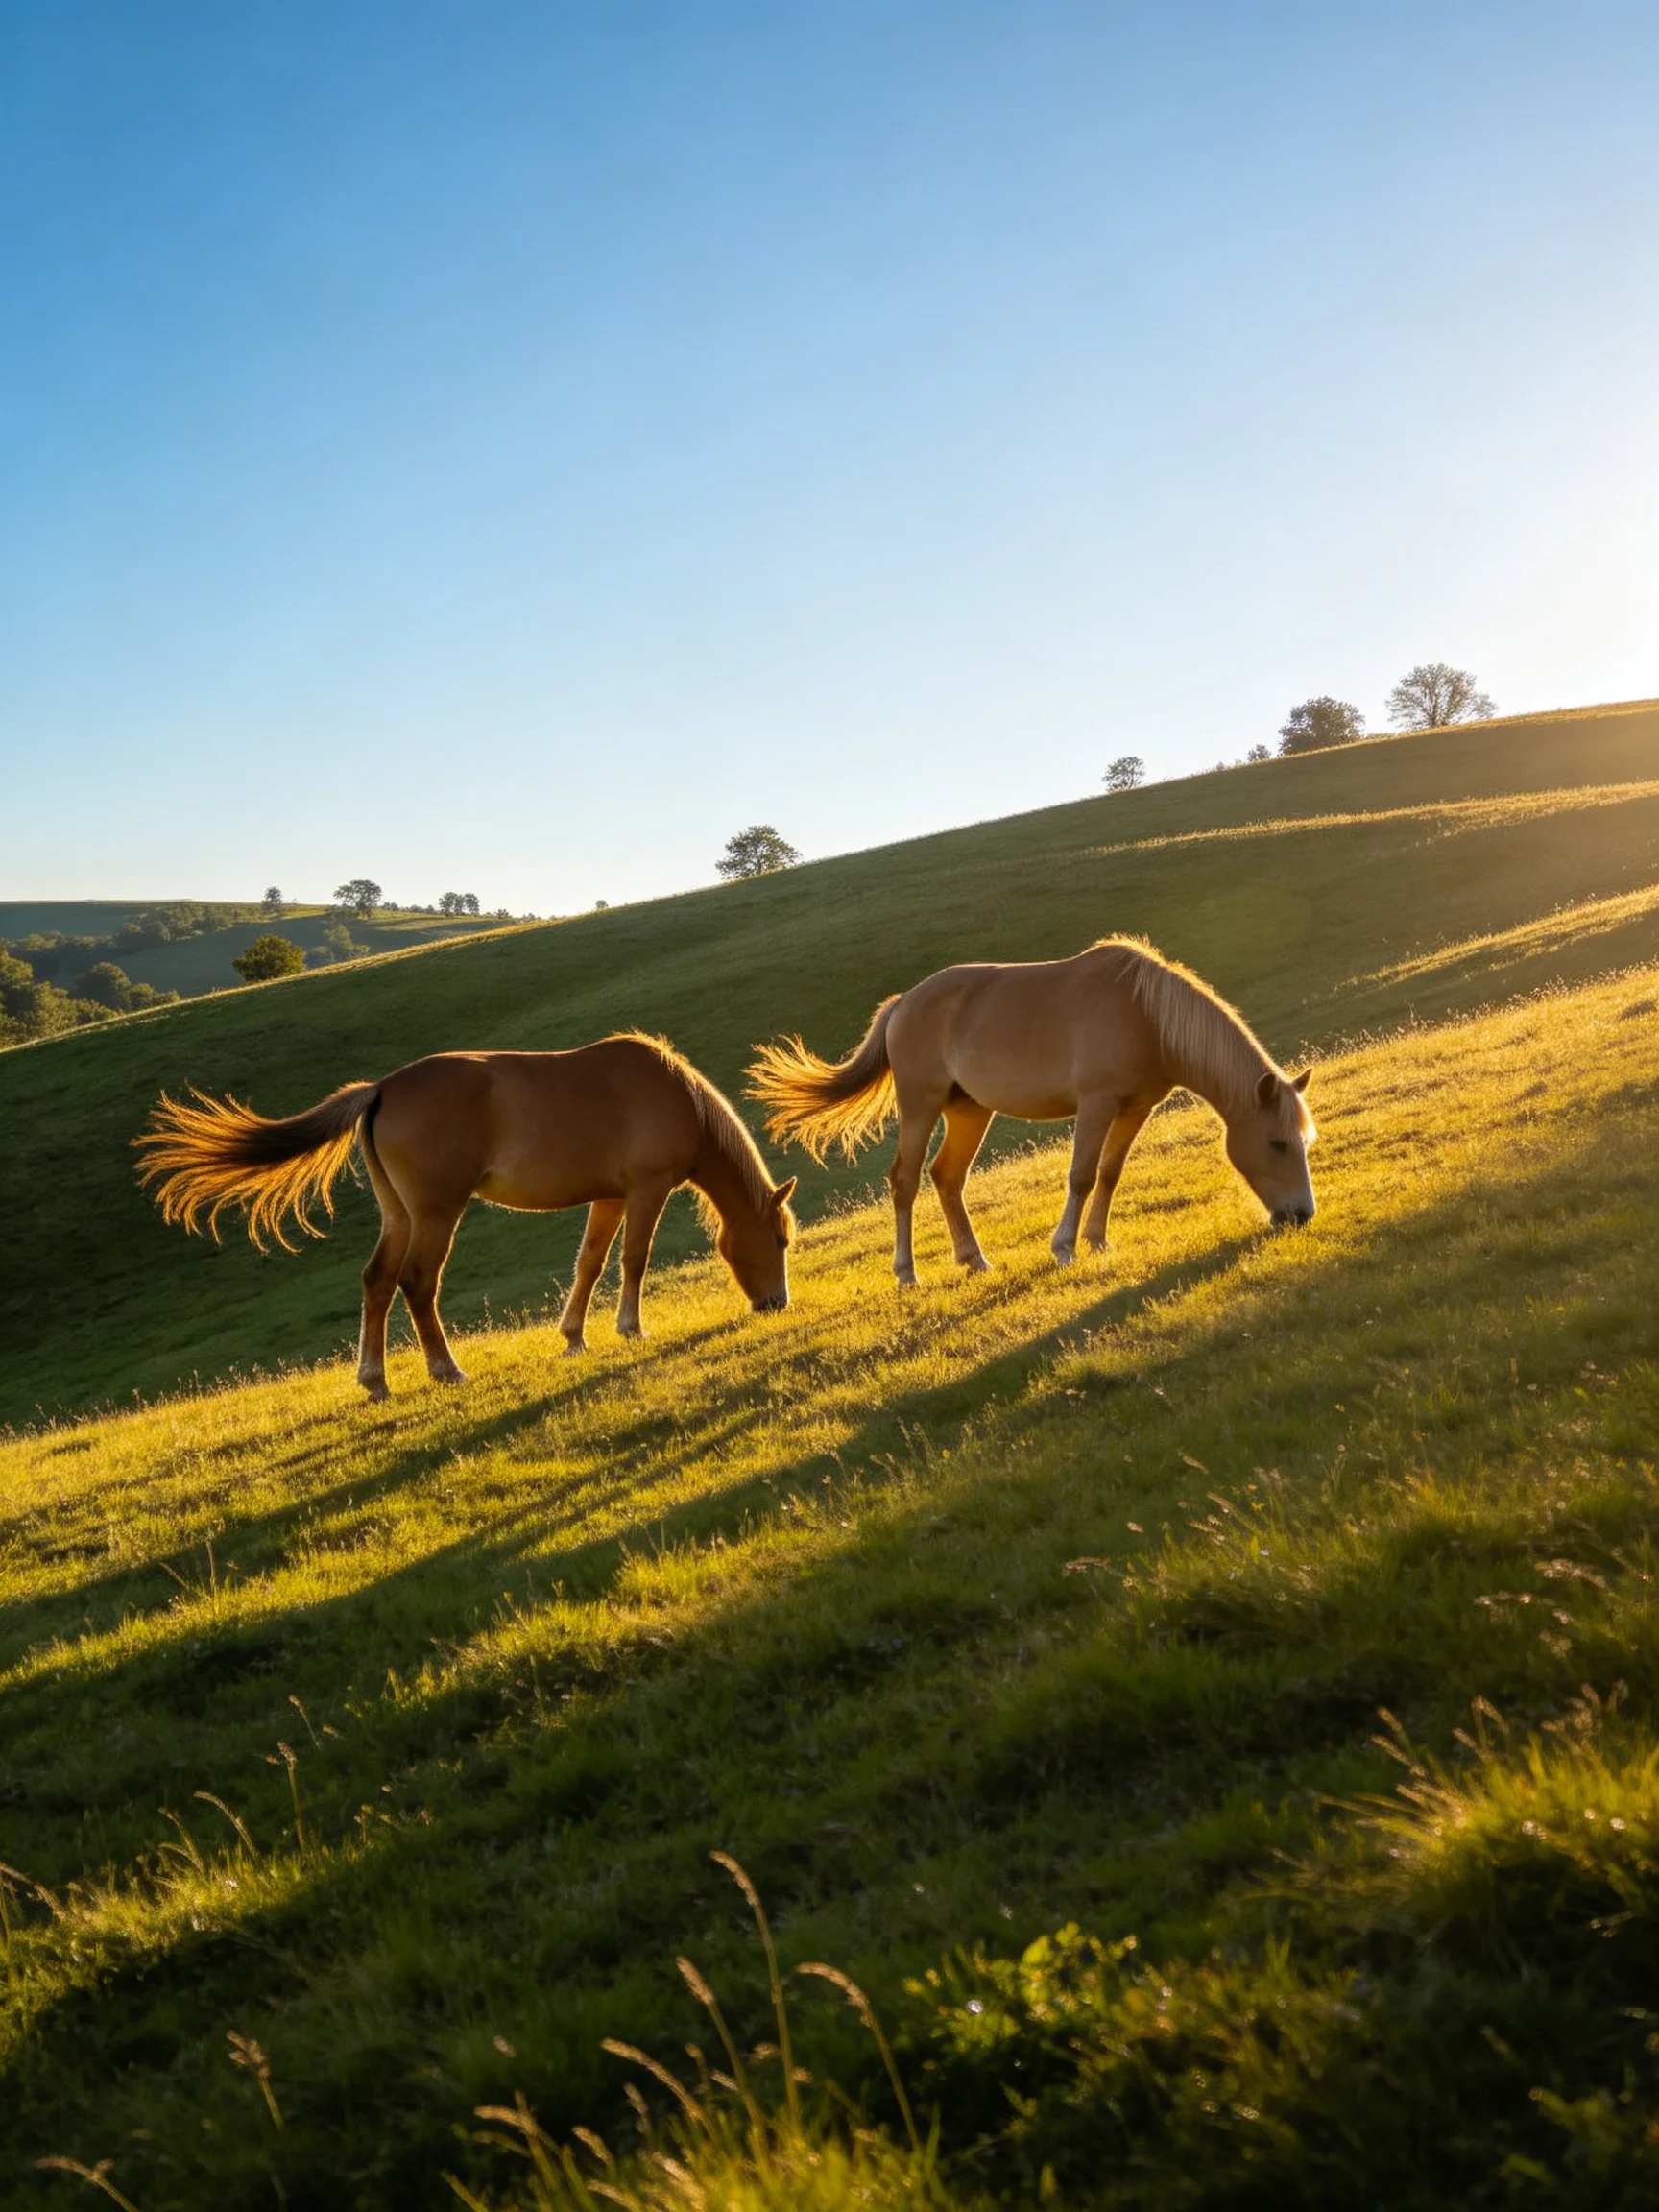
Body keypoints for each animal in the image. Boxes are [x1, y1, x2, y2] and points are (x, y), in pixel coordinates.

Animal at [137, 1033, 797, 1399]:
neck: (673, 1094)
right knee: (416, 1282)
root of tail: (382, 1088)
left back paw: (375, 1380)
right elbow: (634, 1259)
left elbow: (589, 1262)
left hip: (400, 1216)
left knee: (378, 1282)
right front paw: (630, 1328)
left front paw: (573, 1335)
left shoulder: (608, 1197)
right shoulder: (645, 1190)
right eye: (780, 1239)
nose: (778, 1304)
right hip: (436, 1215)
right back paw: (444, 1368)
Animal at [748, 937, 1314, 1285]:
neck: (1147, 1015)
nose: (1302, 1215)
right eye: (1276, 1142)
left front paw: (1098, 1242)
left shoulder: (1135, 1110)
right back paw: (907, 1272)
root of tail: (904, 1002)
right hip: (920, 1107)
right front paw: (1064, 1247)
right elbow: (1082, 1175)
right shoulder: (1096, 1104)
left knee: (947, 1177)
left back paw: (974, 1260)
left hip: (969, 1111)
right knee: (905, 1180)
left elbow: (1110, 1173)